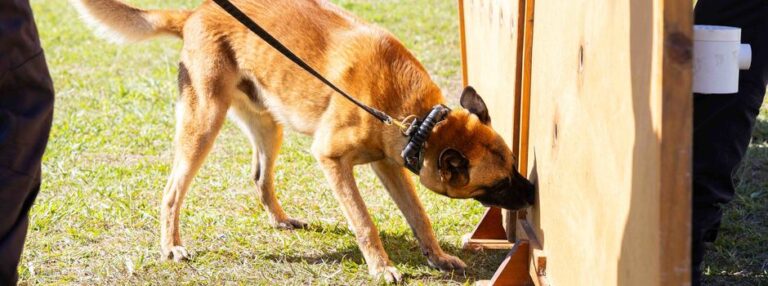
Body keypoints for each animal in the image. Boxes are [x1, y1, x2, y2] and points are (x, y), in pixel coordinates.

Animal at [75, 0, 536, 282]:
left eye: (514, 166)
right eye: (498, 184)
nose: (533, 192)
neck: (418, 120)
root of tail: (196, 13)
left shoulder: (388, 164)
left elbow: (419, 216)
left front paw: (437, 257)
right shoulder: (332, 160)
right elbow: (364, 222)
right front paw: (381, 268)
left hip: (268, 126)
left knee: (260, 178)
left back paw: (281, 220)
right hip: (203, 125)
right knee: (172, 191)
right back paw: (172, 246)